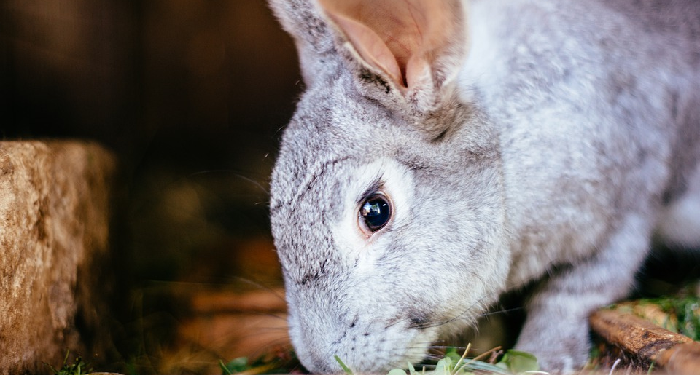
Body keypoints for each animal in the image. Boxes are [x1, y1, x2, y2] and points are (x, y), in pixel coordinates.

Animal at [266, 0, 700, 372]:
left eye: (375, 211)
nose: (321, 363)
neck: (504, 158)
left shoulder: (626, 208)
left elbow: (571, 292)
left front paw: (542, 358)